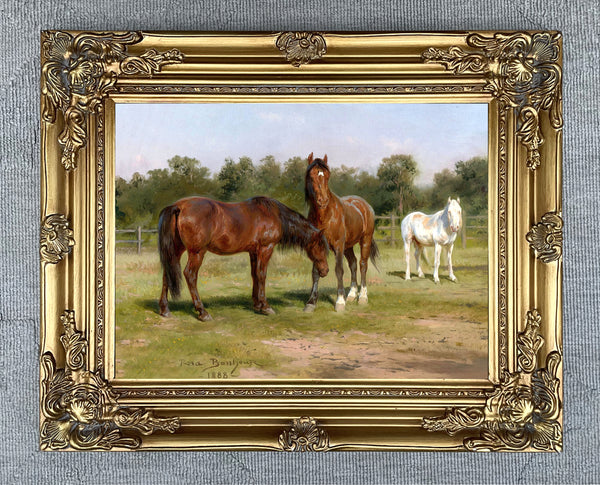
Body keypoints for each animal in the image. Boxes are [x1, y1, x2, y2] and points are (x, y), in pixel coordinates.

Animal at [158, 195, 328, 320]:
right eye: (321, 247)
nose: (325, 271)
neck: (273, 214)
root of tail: (178, 206)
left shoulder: (253, 251)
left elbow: (254, 275)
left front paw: (257, 305)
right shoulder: (266, 249)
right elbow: (262, 275)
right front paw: (266, 307)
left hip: (176, 249)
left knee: (167, 274)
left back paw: (165, 310)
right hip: (197, 252)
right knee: (190, 275)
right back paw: (202, 312)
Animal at [304, 153, 380, 312]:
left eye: (327, 176)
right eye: (312, 176)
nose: (323, 200)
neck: (325, 215)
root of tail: (365, 206)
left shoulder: (338, 245)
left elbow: (339, 270)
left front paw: (339, 302)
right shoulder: (316, 245)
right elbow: (315, 272)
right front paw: (311, 302)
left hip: (365, 240)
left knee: (363, 264)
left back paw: (362, 297)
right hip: (348, 246)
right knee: (353, 264)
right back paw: (351, 295)